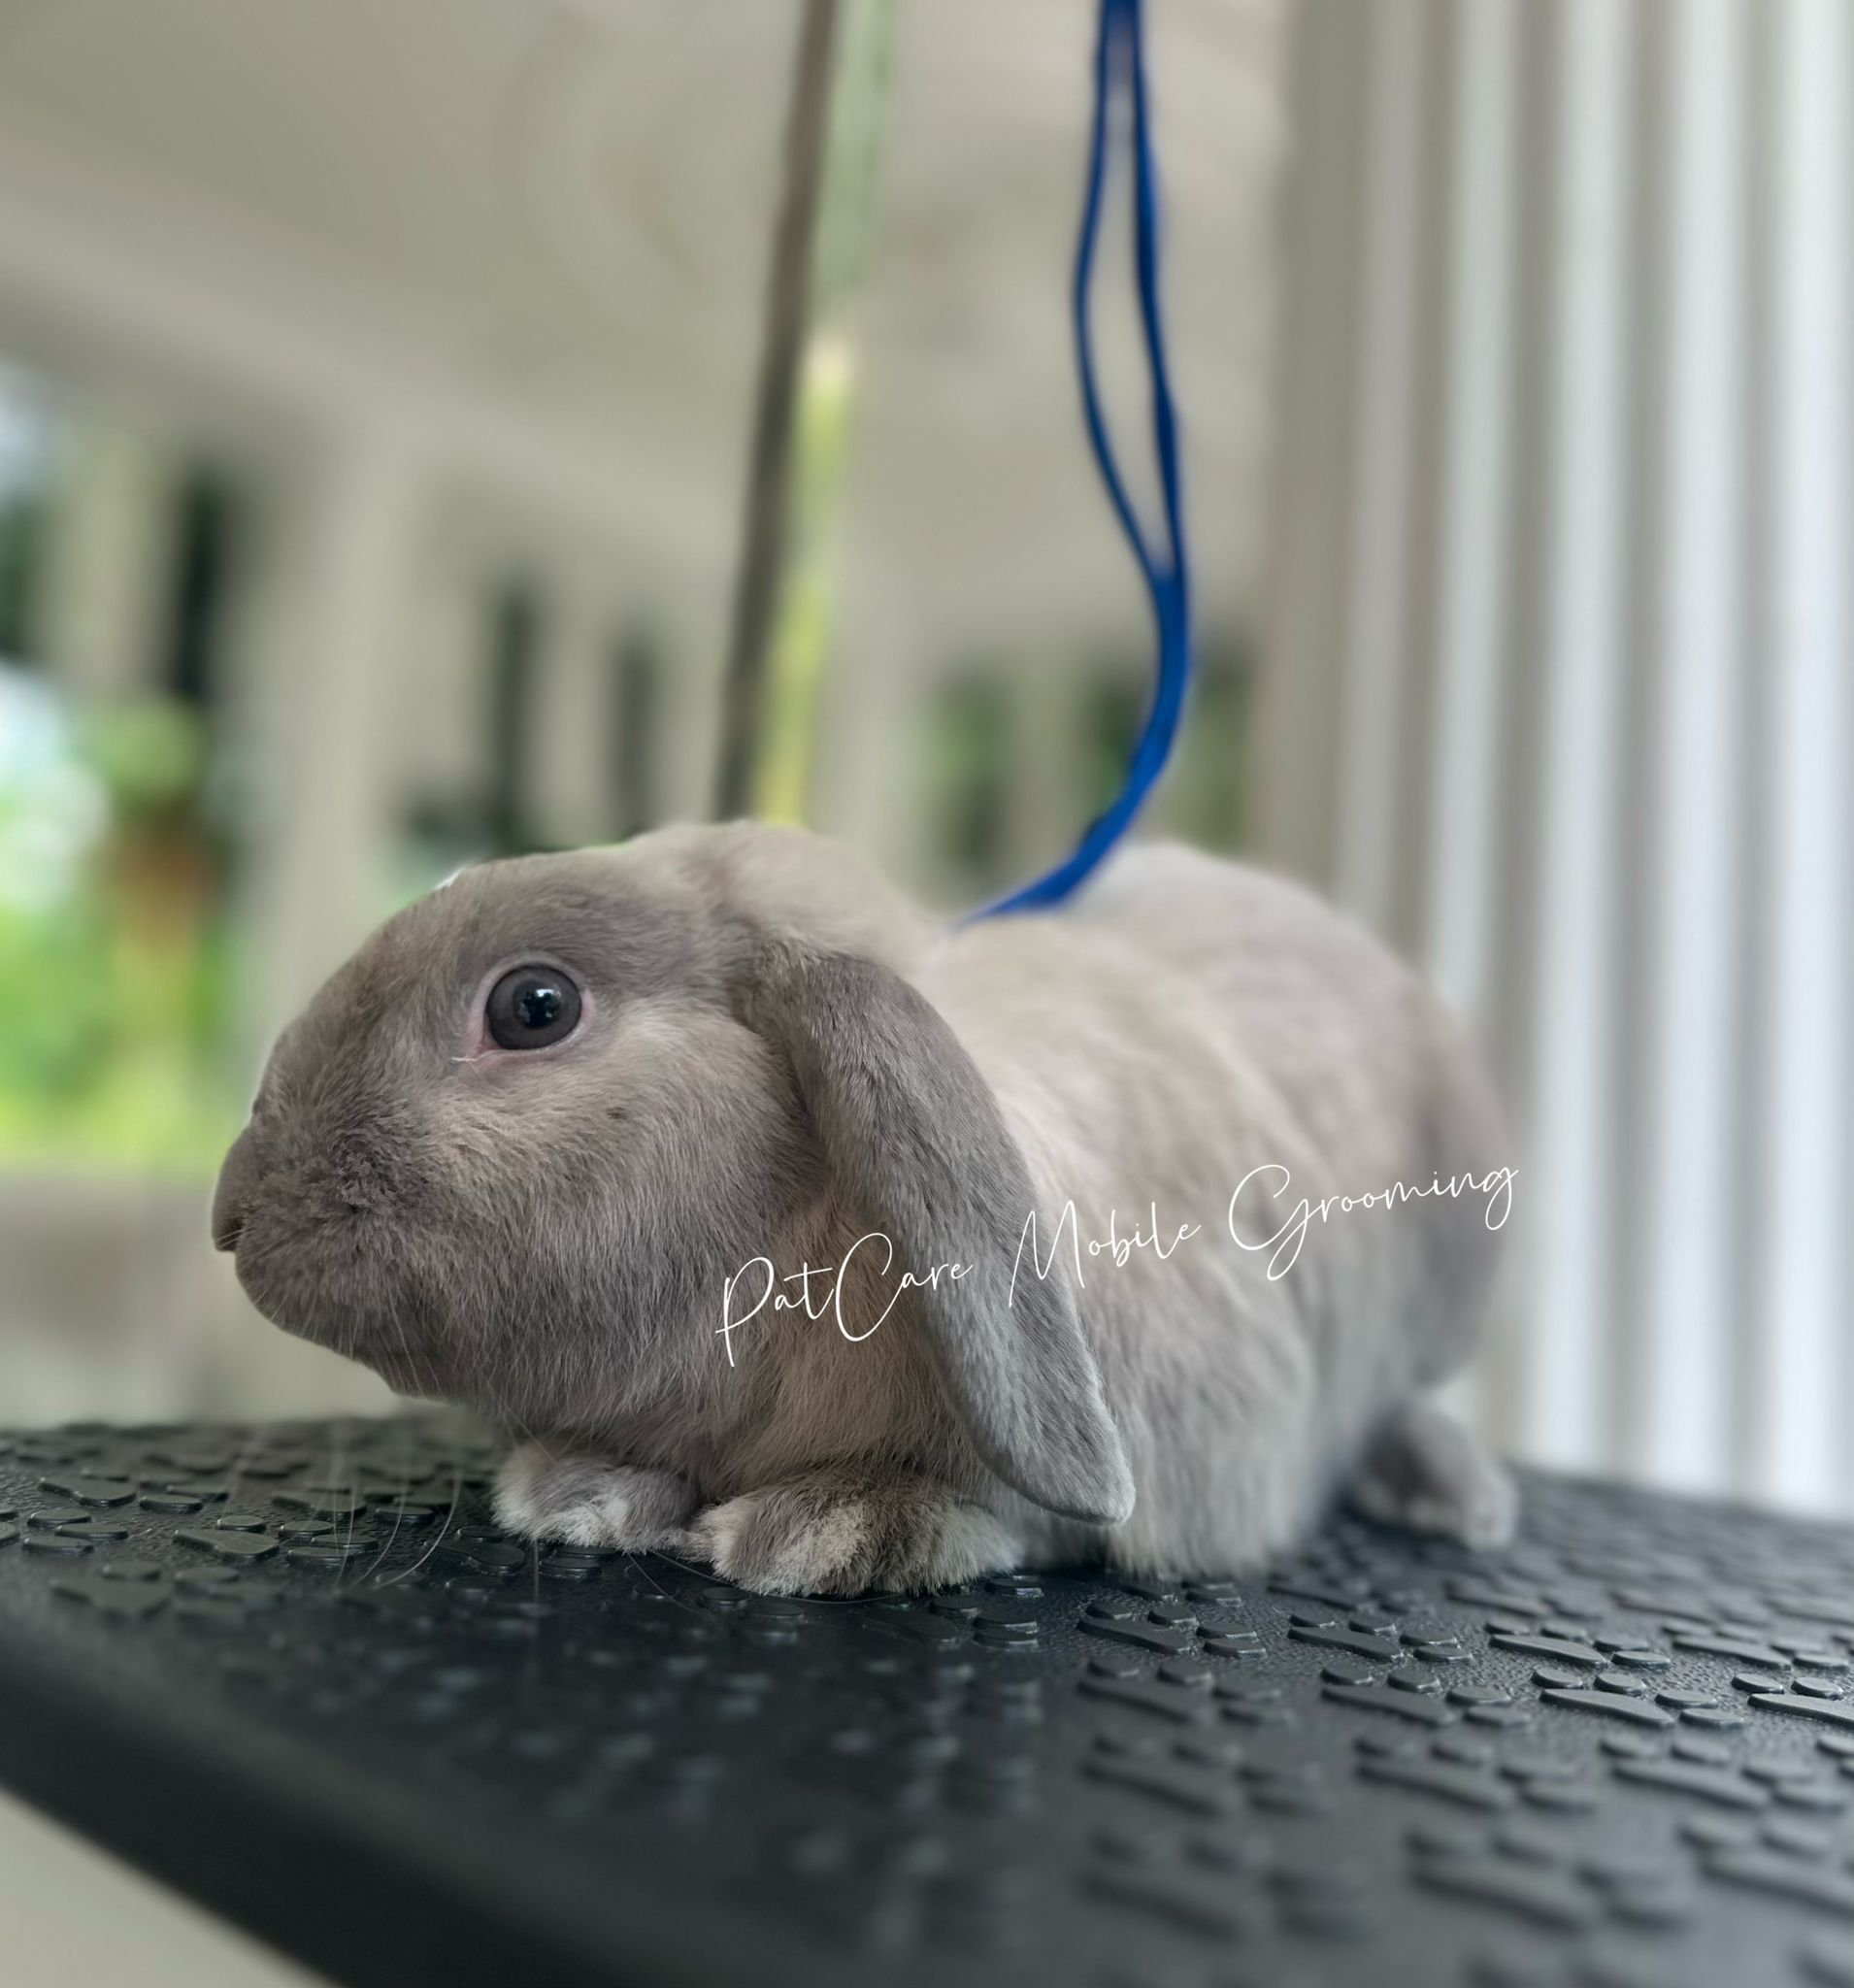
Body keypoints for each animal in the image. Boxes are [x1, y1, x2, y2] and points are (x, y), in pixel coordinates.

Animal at [212, 821, 1517, 1596]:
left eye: (533, 1006)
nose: (231, 1211)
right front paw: (574, 1491)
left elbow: (1002, 1517)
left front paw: (812, 1527)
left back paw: (1448, 1491)